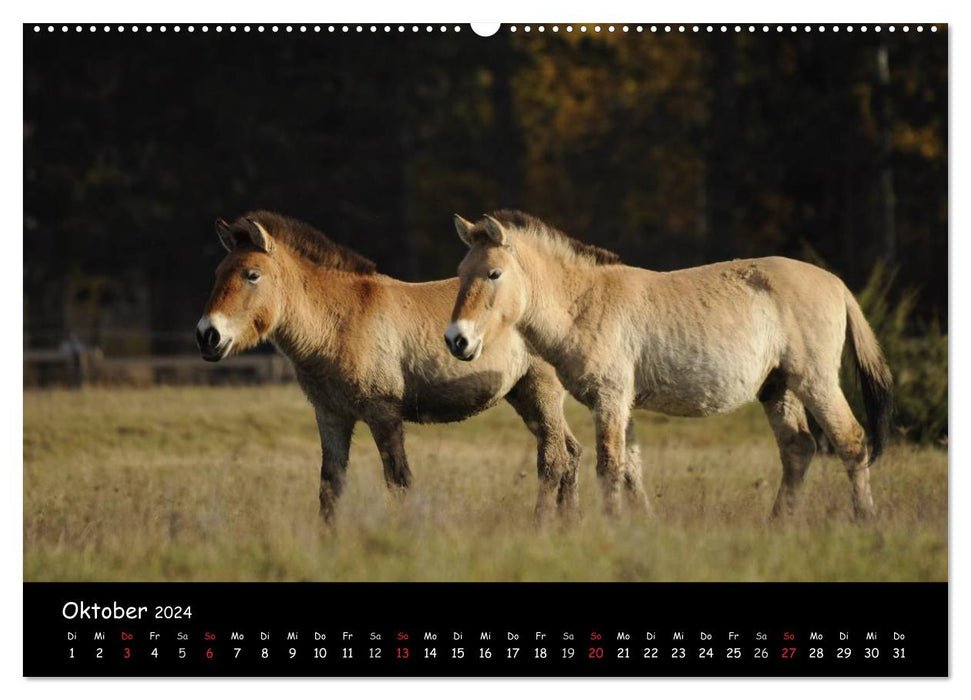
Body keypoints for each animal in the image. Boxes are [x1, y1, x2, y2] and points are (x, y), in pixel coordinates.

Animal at [194, 211, 580, 524]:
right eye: (217, 273)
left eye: (252, 275)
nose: (207, 335)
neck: (340, 322)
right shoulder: (331, 415)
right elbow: (330, 486)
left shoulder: (383, 414)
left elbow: (399, 480)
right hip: (523, 396)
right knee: (572, 454)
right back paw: (567, 526)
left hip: (541, 392)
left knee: (553, 461)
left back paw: (541, 526)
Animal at [444, 211, 892, 524]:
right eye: (460, 273)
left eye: (494, 273)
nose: (456, 340)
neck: (585, 301)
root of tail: (837, 284)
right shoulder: (620, 403)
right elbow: (631, 470)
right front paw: (642, 525)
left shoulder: (610, 398)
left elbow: (610, 466)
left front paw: (611, 527)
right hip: (777, 388)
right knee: (798, 449)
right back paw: (779, 525)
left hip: (815, 382)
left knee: (851, 441)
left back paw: (866, 522)